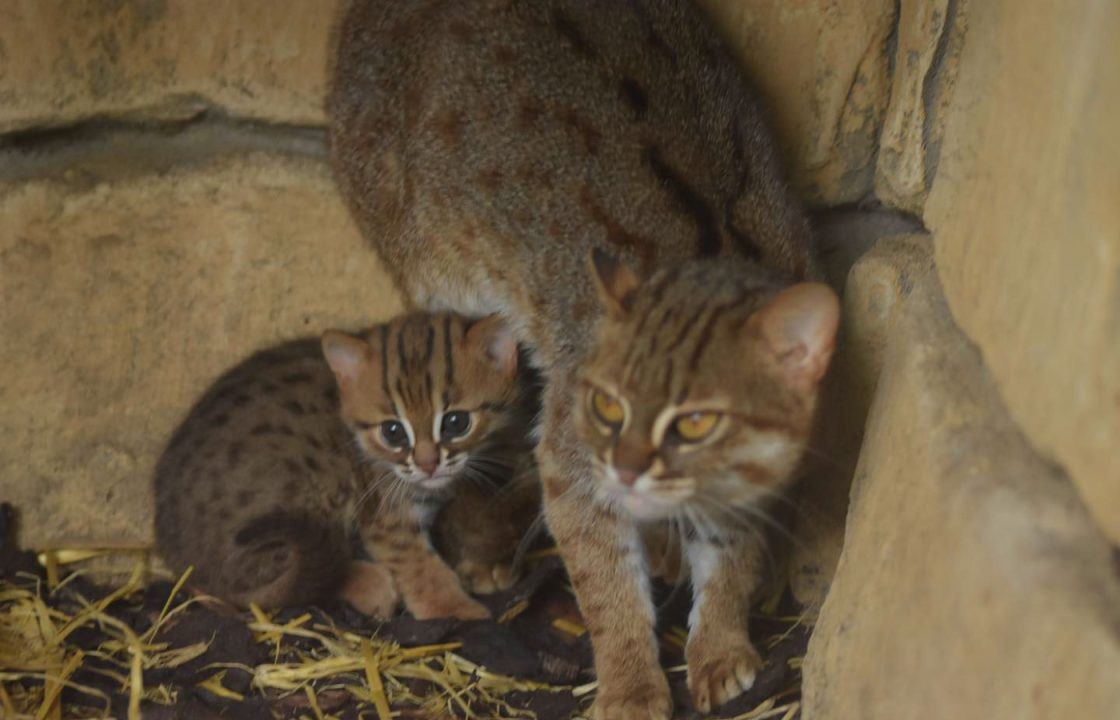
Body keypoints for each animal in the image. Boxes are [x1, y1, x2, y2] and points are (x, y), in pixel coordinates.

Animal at [155, 313, 539, 622]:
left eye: (456, 422)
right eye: (393, 431)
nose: (428, 464)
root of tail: (172, 548)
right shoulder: (386, 512)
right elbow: (419, 564)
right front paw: (457, 609)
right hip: (310, 482)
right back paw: (371, 585)